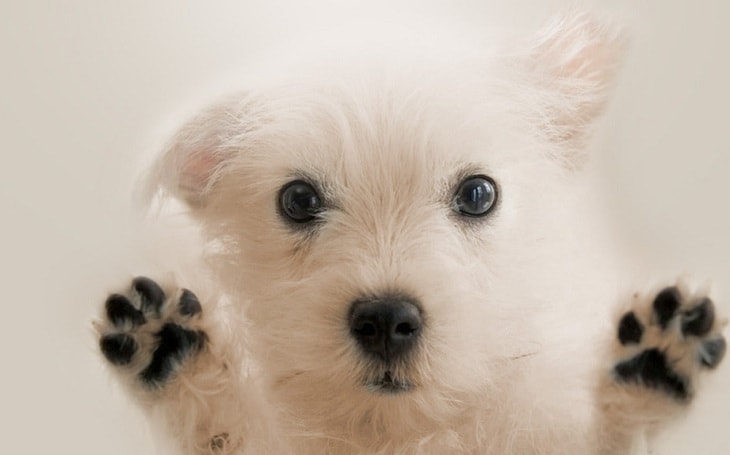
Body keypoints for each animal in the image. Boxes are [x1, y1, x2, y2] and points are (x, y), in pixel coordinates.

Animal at [95, 12, 724, 454]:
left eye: (478, 194)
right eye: (298, 201)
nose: (385, 322)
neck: (397, 431)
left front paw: (649, 371)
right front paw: (175, 353)